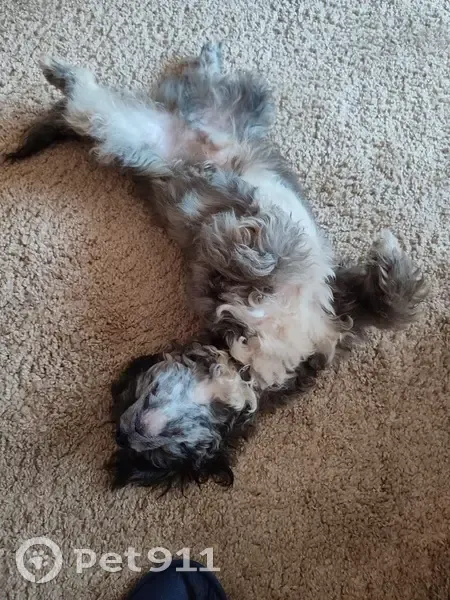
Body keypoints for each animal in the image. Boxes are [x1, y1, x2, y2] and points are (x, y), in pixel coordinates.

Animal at [7, 43, 428, 492]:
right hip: (129, 138)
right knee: (87, 108)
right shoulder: (218, 278)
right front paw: (255, 231)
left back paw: (198, 63)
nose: (130, 428)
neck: (245, 366)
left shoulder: (337, 312)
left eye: (163, 454)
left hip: (237, 106)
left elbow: (389, 305)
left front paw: (387, 253)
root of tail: (179, 120)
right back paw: (67, 76)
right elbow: (251, 250)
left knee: (199, 86)